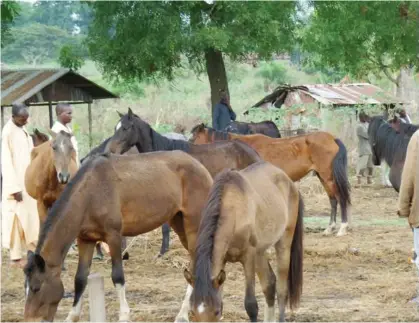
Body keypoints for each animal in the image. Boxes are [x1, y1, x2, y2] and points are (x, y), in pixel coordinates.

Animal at [22, 152, 213, 323]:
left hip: (193, 225)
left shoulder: (113, 237)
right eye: (25, 287)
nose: (30, 319)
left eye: (36, 288)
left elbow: (117, 276)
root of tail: (201, 167)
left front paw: (124, 316)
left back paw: (183, 313)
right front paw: (72, 316)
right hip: (178, 222)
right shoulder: (85, 240)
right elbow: (80, 278)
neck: (90, 192)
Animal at [179, 162, 304, 323]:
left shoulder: (248, 257)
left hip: (283, 244)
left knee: (282, 290)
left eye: (216, 311)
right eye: (192, 312)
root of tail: (289, 182)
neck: (233, 210)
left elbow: (251, 304)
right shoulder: (222, 261)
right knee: (269, 284)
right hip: (260, 252)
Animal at [192, 123, 352, 237]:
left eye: (192, 138)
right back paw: (330, 228)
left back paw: (342, 228)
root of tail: (332, 139)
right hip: (323, 177)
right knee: (333, 200)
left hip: (328, 176)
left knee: (340, 198)